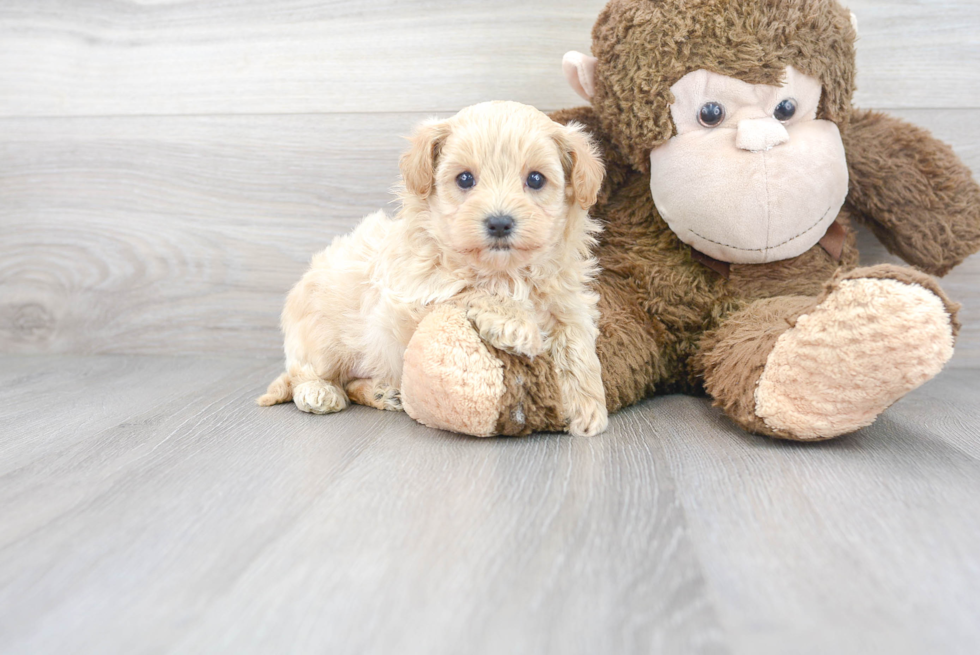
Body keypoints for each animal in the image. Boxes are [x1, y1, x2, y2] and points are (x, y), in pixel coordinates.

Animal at [258, 102, 612, 438]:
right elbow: (471, 288)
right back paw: (319, 393)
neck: (506, 270)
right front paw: (515, 324)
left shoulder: (567, 302)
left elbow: (578, 346)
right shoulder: (415, 293)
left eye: (536, 179)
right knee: (304, 373)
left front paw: (588, 407)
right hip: (322, 339)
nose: (499, 222)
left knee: (353, 381)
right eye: (465, 179)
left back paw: (382, 392)